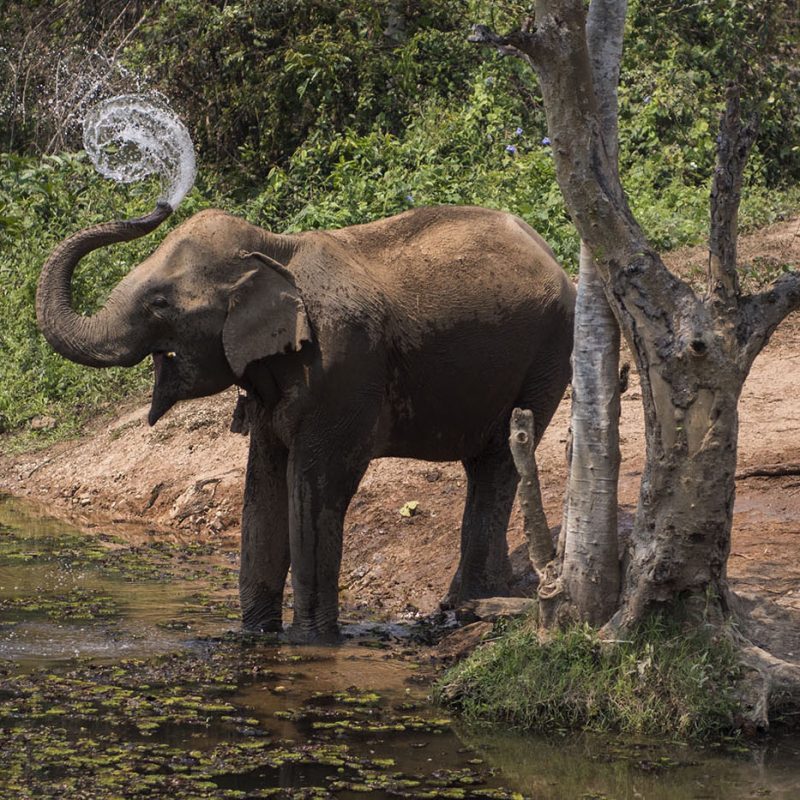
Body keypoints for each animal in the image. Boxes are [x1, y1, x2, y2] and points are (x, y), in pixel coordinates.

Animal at [37, 202, 576, 644]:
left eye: (160, 304)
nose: (160, 203)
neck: (276, 248)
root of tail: (551, 254)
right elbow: (264, 484)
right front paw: (255, 635)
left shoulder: (342, 367)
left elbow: (316, 483)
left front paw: (312, 642)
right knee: (486, 466)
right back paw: (470, 604)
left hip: (550, 355)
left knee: (498, 461)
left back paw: (475, 606)